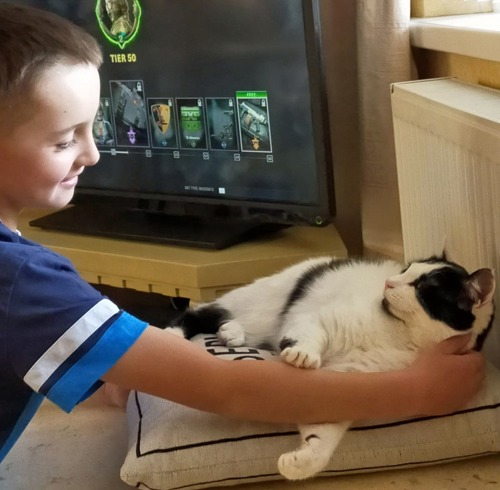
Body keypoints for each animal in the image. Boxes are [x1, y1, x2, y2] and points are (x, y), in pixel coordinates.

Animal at [169, 255, 496, 480]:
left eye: (423, 286)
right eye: (406, 271)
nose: (389, 282)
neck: (399, 337)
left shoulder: (343, 384)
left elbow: (322, 440)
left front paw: (301, 463)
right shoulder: (317, 319)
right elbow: (309, 335)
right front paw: (302, 353)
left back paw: (231, 334)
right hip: (261, 305)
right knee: (200, 313)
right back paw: (174, 335)